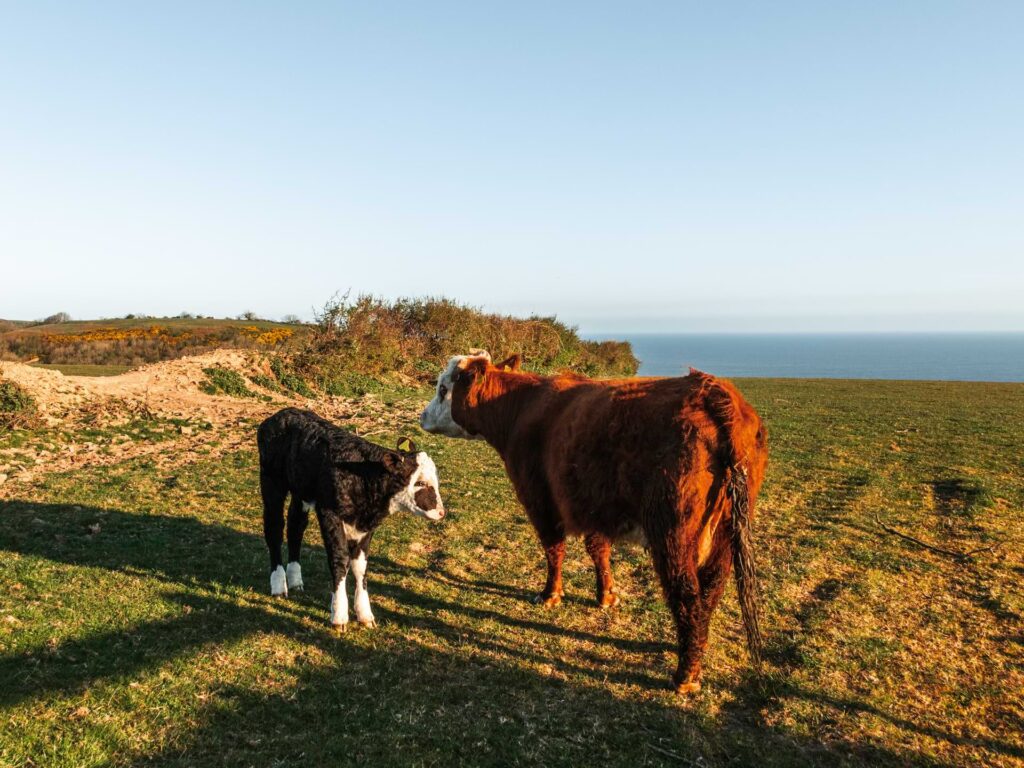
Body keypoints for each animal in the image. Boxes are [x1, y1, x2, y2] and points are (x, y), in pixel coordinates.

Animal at [417, 352, 770, 696]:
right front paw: (606, 595)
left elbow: (554, 550)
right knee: (710, 591)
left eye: (443, 389)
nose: (422, 416)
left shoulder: (541, 501)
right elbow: (598, 550)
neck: (522, 407)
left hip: (673, 536)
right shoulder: (593, 506)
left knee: (687, 595)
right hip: (723, 539)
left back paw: (685, 674)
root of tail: (713, 391)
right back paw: (695, 646)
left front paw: (550, 594)